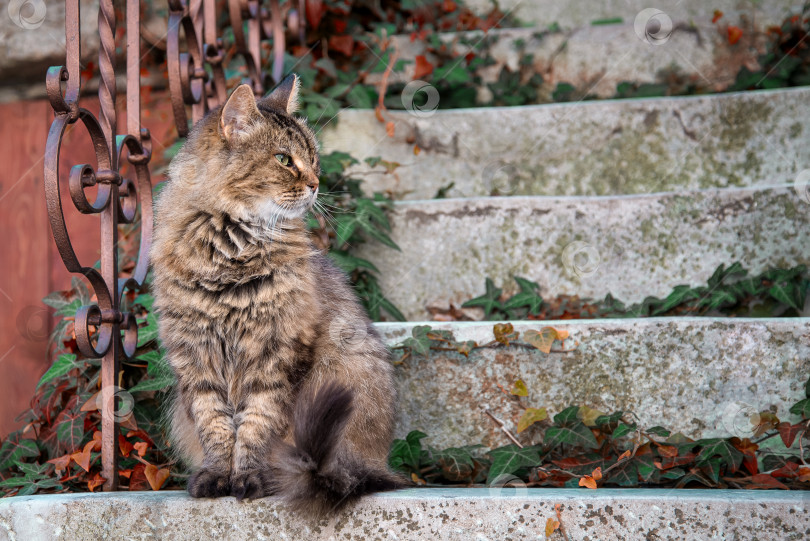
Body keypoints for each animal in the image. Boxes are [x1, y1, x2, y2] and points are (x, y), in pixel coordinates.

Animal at [149, 74, 400, 512]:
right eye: (284, 160)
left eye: (313, 158)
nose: (316, 184)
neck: (229, 248)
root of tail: (376, 462)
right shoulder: (195, 354)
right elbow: (215, 425)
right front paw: (216, 477)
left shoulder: (276, 352)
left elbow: (256, 425)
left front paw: (249, 478)